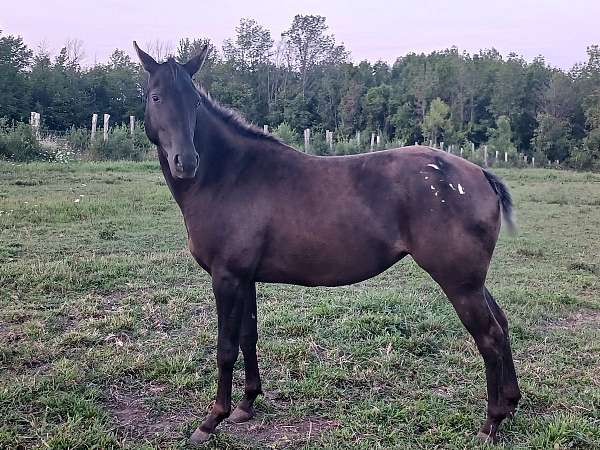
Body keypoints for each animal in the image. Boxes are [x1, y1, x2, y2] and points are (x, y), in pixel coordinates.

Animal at [134, 41, 524, 442]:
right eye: (156, 96)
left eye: (195, 102)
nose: (186, 162)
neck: (230, 175)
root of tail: (480, 174)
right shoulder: (244, 278)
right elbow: (248, 337)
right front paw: (246, 404)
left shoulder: (226, 277)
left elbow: (225, 348)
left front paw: (212, 419)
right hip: (471, 281)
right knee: (502, 325)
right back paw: (510, 404)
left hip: (459, 282)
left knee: (489, 336)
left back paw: (491, 423)